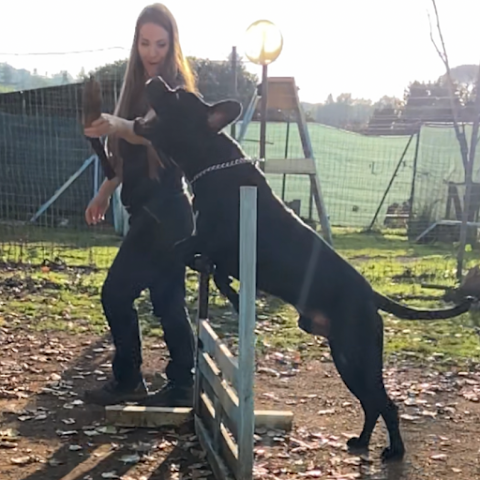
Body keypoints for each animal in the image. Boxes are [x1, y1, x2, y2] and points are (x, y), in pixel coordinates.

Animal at [133, 77, 474, 464]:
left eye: (176, 96)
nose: (154, 80)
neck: (211, 163)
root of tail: (370, 294)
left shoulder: (213, 239)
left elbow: (180, 249)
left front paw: (226, 289)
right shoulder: (215, 249)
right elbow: (209, 267)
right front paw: (232, 293)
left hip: (358, 357)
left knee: (386, 404)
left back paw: (395, 451)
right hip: (346, 359)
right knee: (371, 404)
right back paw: (361, 441)